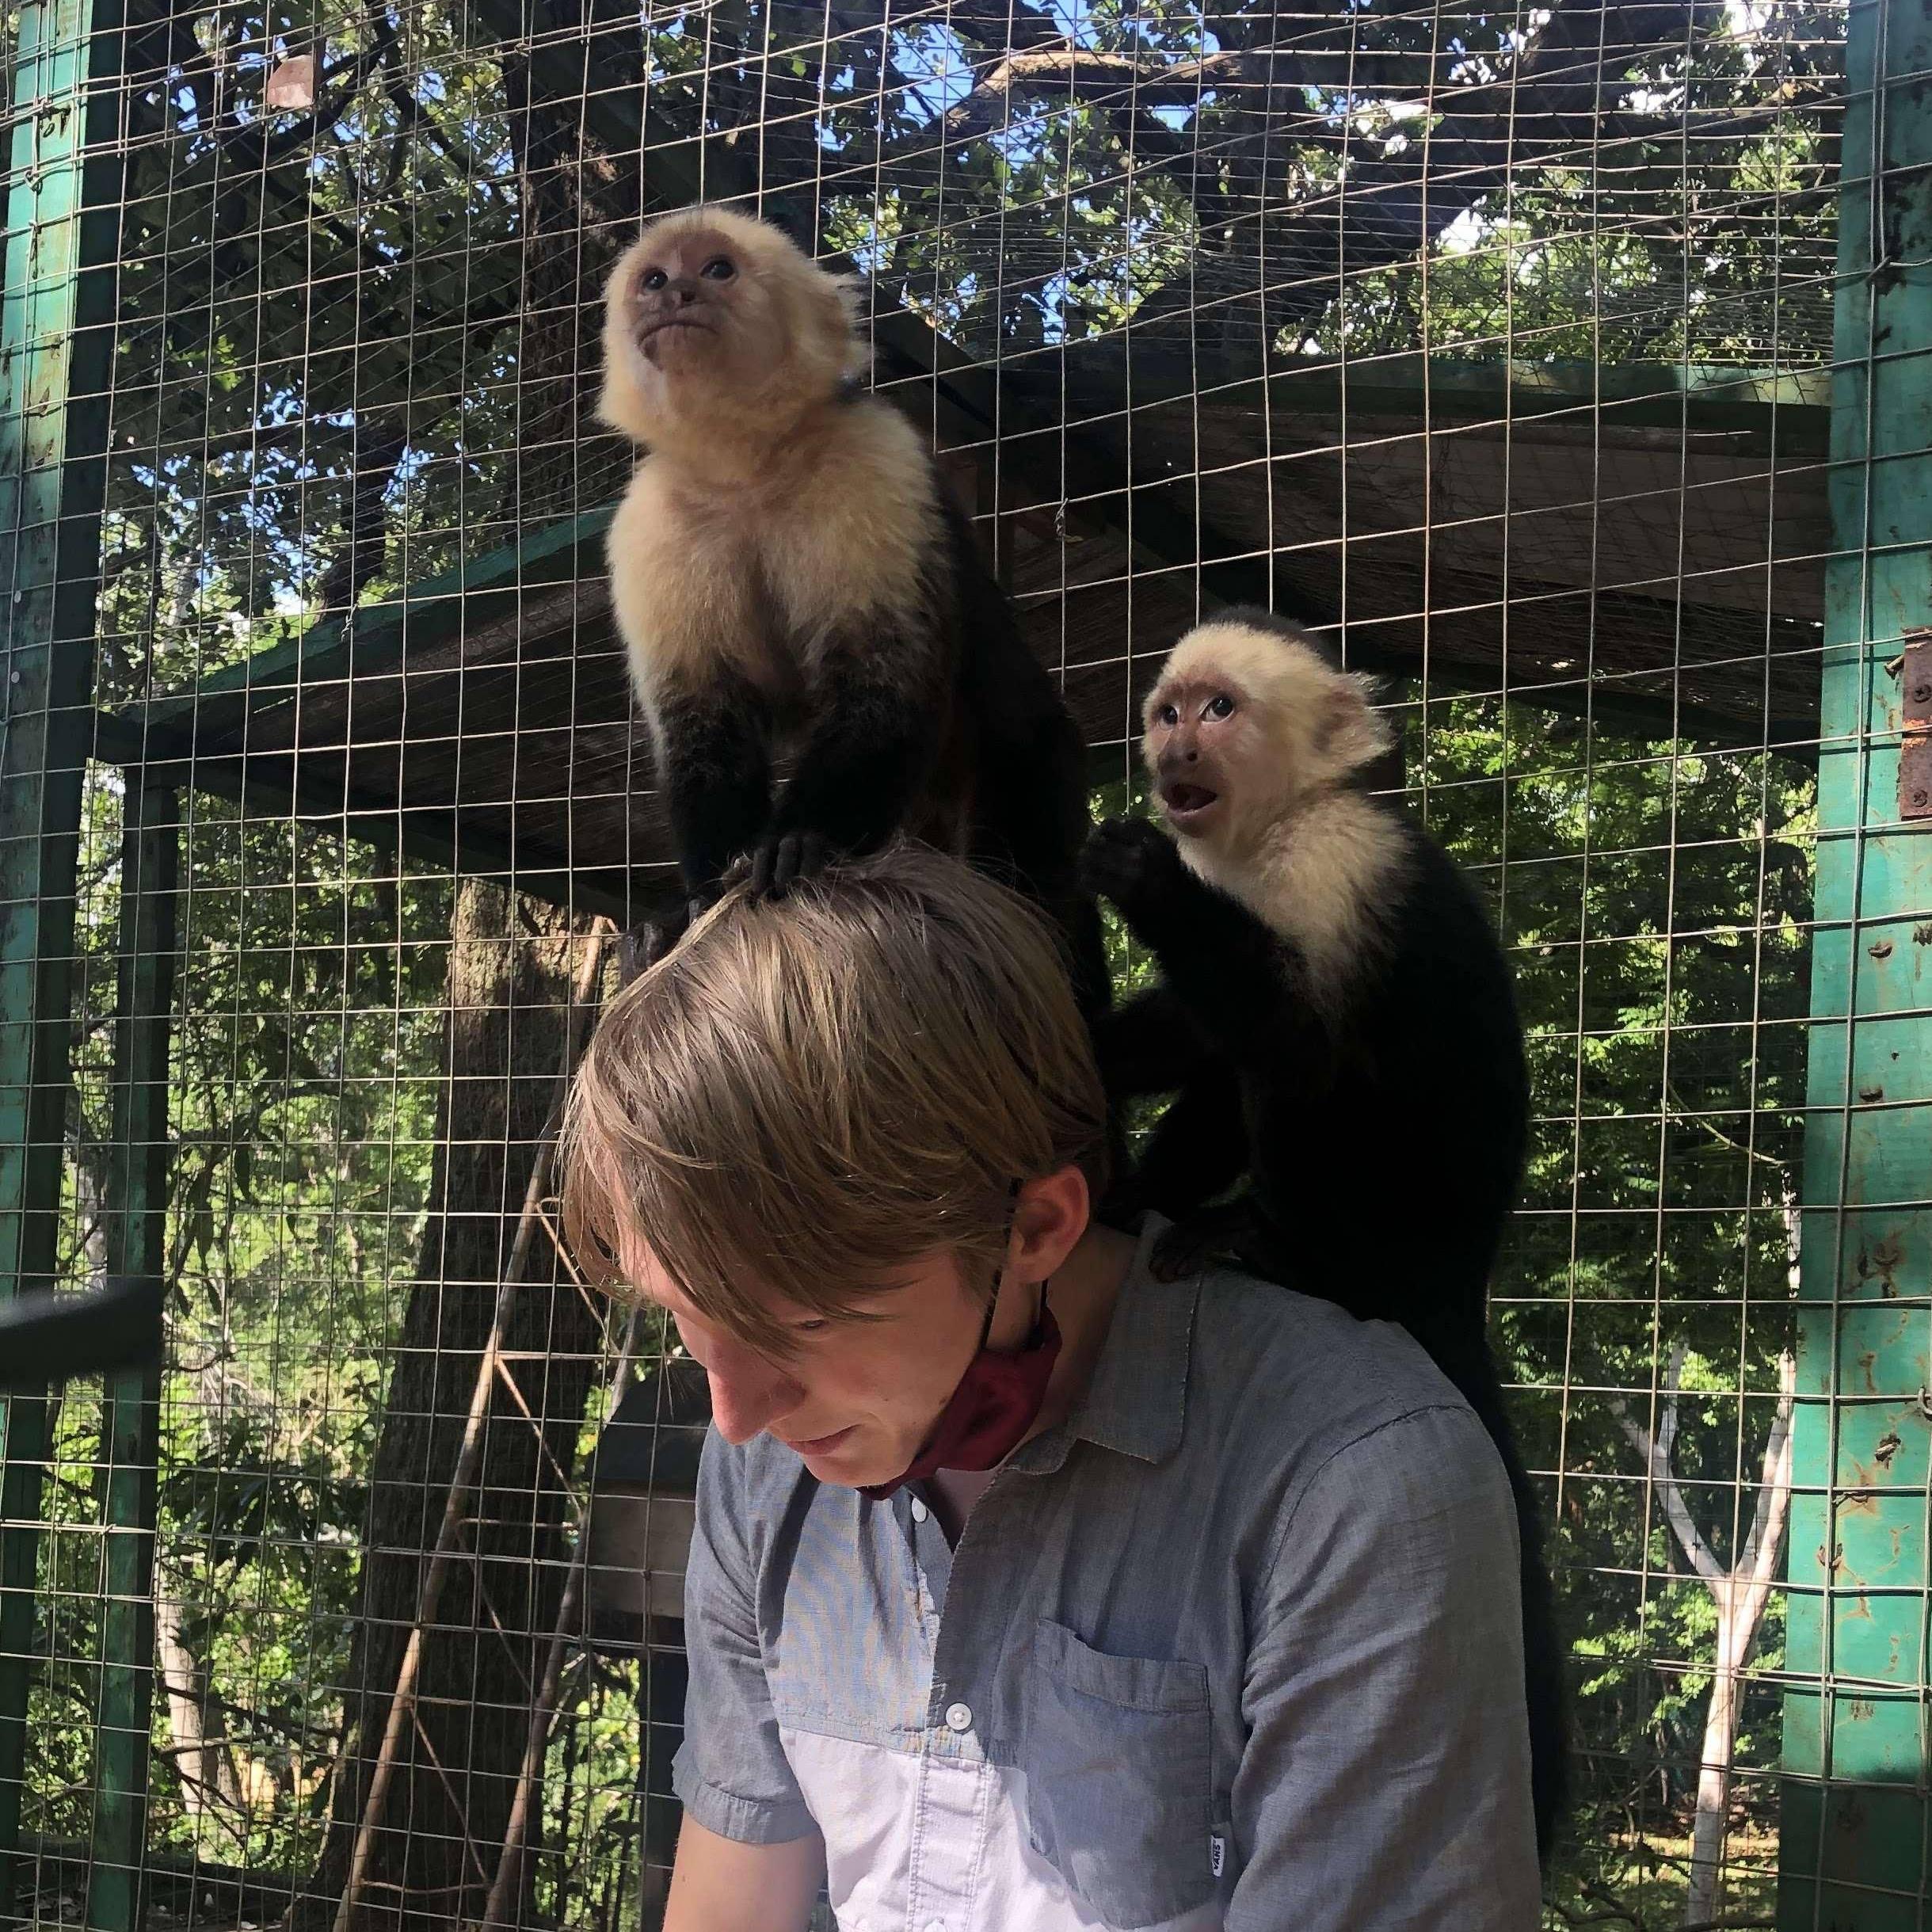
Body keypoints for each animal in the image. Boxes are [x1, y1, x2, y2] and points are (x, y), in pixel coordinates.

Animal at [595, 205, 1105, 1004]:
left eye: (717, 269)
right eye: (652, 278)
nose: (674, 293)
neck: (744, 468)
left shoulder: (872, 454)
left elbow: (882, 678)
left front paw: (801, 842)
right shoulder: (651, 520)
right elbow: (702, 722)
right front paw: (703, 905)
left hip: (1032, 770)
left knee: (1036, 847)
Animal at [1089, 610, 1568, 1862]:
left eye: (1219, 711)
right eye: (1169, 709)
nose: (1171, 751)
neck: (1271, 833)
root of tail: (1455, 1283)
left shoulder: (1331, 869)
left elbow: (1302, 1049)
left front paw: (1142, 879)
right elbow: (1195, 1031)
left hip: (1389, 1224)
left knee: (1300, 1082)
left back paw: (1272, 1247)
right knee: (1227, 1068)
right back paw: (1148, 1199)